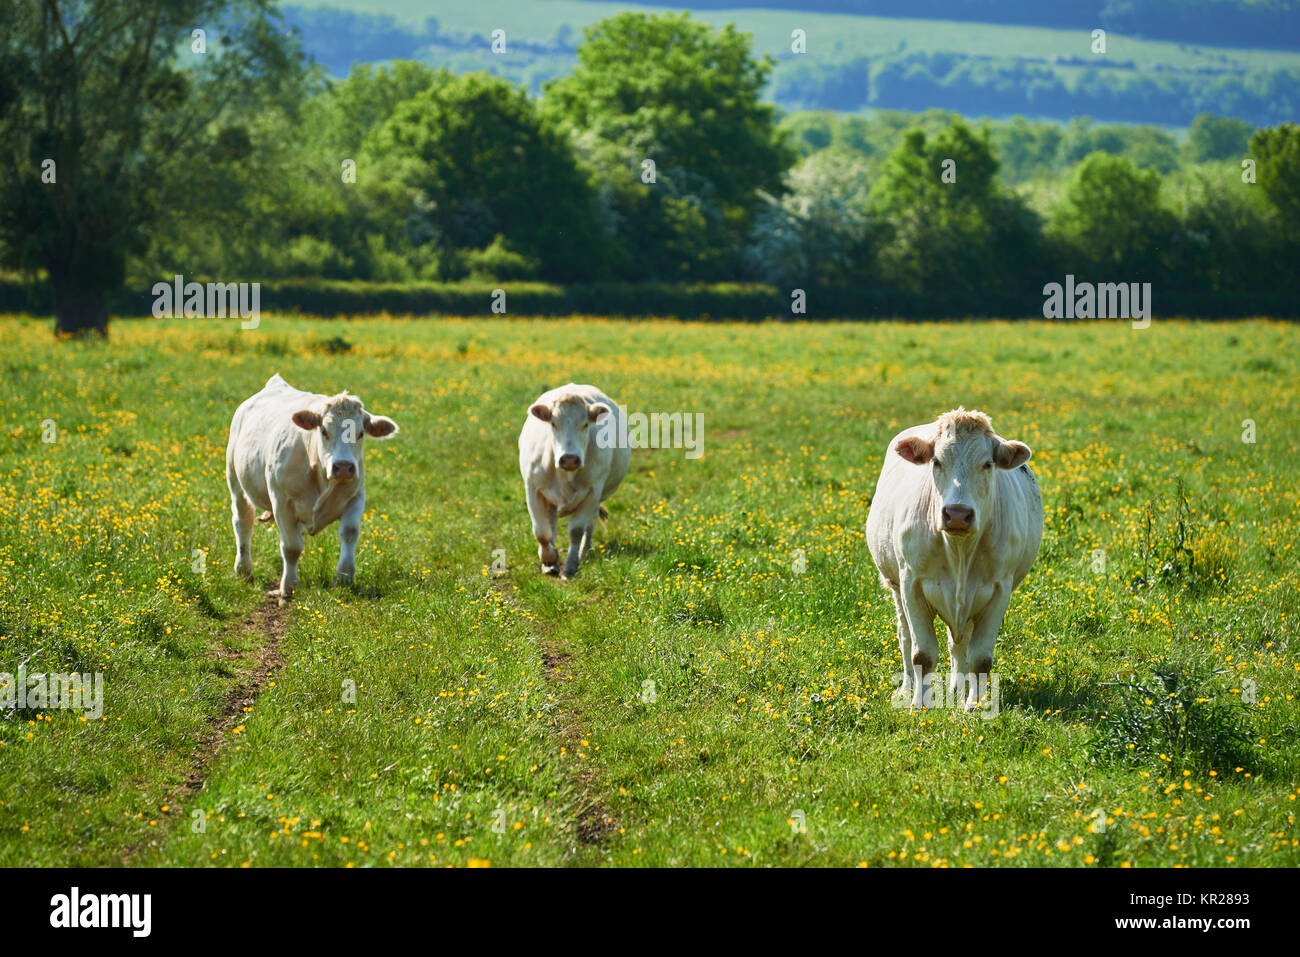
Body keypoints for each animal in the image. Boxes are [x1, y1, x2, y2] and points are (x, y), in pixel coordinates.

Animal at [224, 371, 395, 600]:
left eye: (360, 433)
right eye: (324, 431)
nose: (343, 467)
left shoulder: (356, 495)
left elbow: (349, 533)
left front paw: (343, 578)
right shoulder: (281, 501)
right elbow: (291, 547)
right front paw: (288, 586)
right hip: (235, 482)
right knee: (243, 523)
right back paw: (243, 570)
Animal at [522, 382, 634, 579]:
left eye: (585, 424)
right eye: (553, 424)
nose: (569, 458)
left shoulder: (592, 491)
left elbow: (576, 531)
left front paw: (571, 566)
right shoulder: (532, 488)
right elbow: (541, 532)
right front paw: (549, 559)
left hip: (597, 498)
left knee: (590, 524)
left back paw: (584, 551)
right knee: (551, 523)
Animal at [863, 408, 1045, 707]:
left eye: (987, 464)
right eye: (936, 461)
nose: (957, 514)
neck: (959, 550)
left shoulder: (999, 590)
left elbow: (980, 658)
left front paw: (974, 705)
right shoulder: (911, 584)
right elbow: (921, 654)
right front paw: (919, 703)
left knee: (958, 644)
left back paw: (957, 690)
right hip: (895, 586)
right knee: (905, 637)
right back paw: (906, 687)